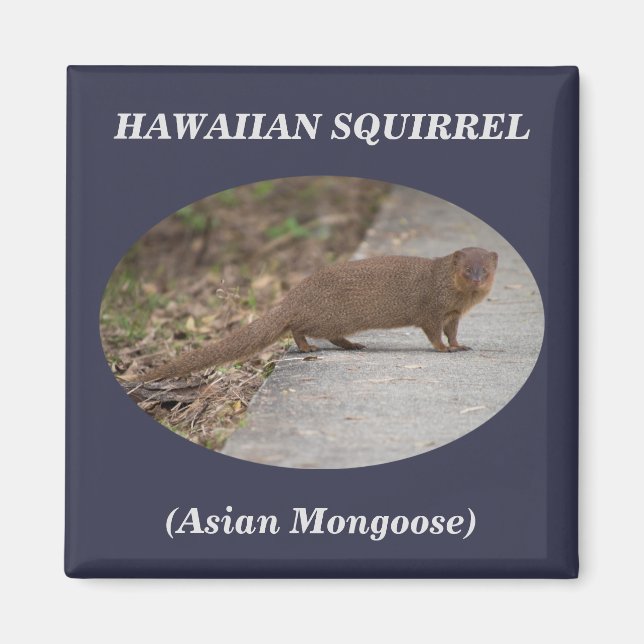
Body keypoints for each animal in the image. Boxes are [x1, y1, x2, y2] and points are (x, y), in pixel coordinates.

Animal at [131, 247, 498, 382]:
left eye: (486, 269)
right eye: (467, 269)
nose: (478, 279)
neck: (455, 294)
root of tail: (295, 293)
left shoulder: (454, 314)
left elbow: (453, 331)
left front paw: (459, 345)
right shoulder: (431, 309)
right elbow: (433, 332)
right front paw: (444, 349)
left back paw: (352, 345)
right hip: (331, 314)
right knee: (298, 326)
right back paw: (308, 347)